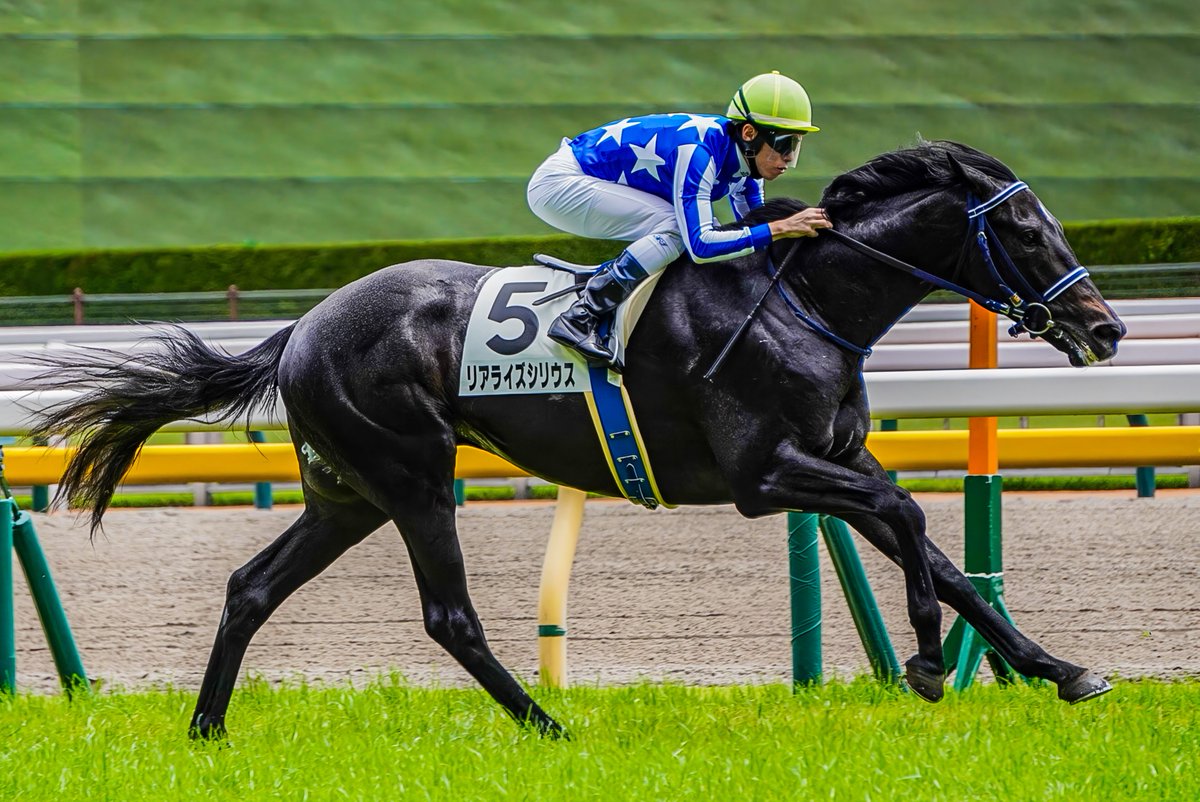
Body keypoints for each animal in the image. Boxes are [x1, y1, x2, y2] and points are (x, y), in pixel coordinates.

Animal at [34, 140, 1125, 740]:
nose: (1107, 329)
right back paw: (551, 725)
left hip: (347, 494)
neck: (803, 298)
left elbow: (938, 554)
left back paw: (208, 729)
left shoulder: (838, 457)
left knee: (251, 587)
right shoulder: (766, 475)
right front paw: (930, 666)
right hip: (414, 474)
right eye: (1026, 231)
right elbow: (906, 520)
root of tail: (300, 326)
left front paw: (1060, 668)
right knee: (450, 616)